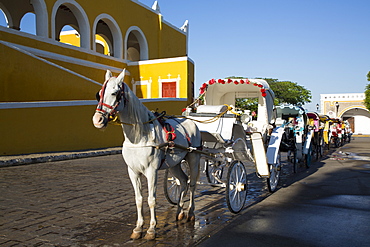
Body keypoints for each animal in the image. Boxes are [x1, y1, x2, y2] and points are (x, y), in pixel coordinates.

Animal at [91, 68, 201, 240]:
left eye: (115, 93)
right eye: (99, 94)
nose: (98, 120)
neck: (139, 137)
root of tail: (191, 122)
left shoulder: (151, 171)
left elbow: (151, 200)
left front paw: (151, 229)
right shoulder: (133, 172)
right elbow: (138, 199)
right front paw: (138, 228)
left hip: (194, 158)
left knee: (192, 184)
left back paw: (190, 212)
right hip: (175, 164)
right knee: (183, 181)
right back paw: (179, 212)